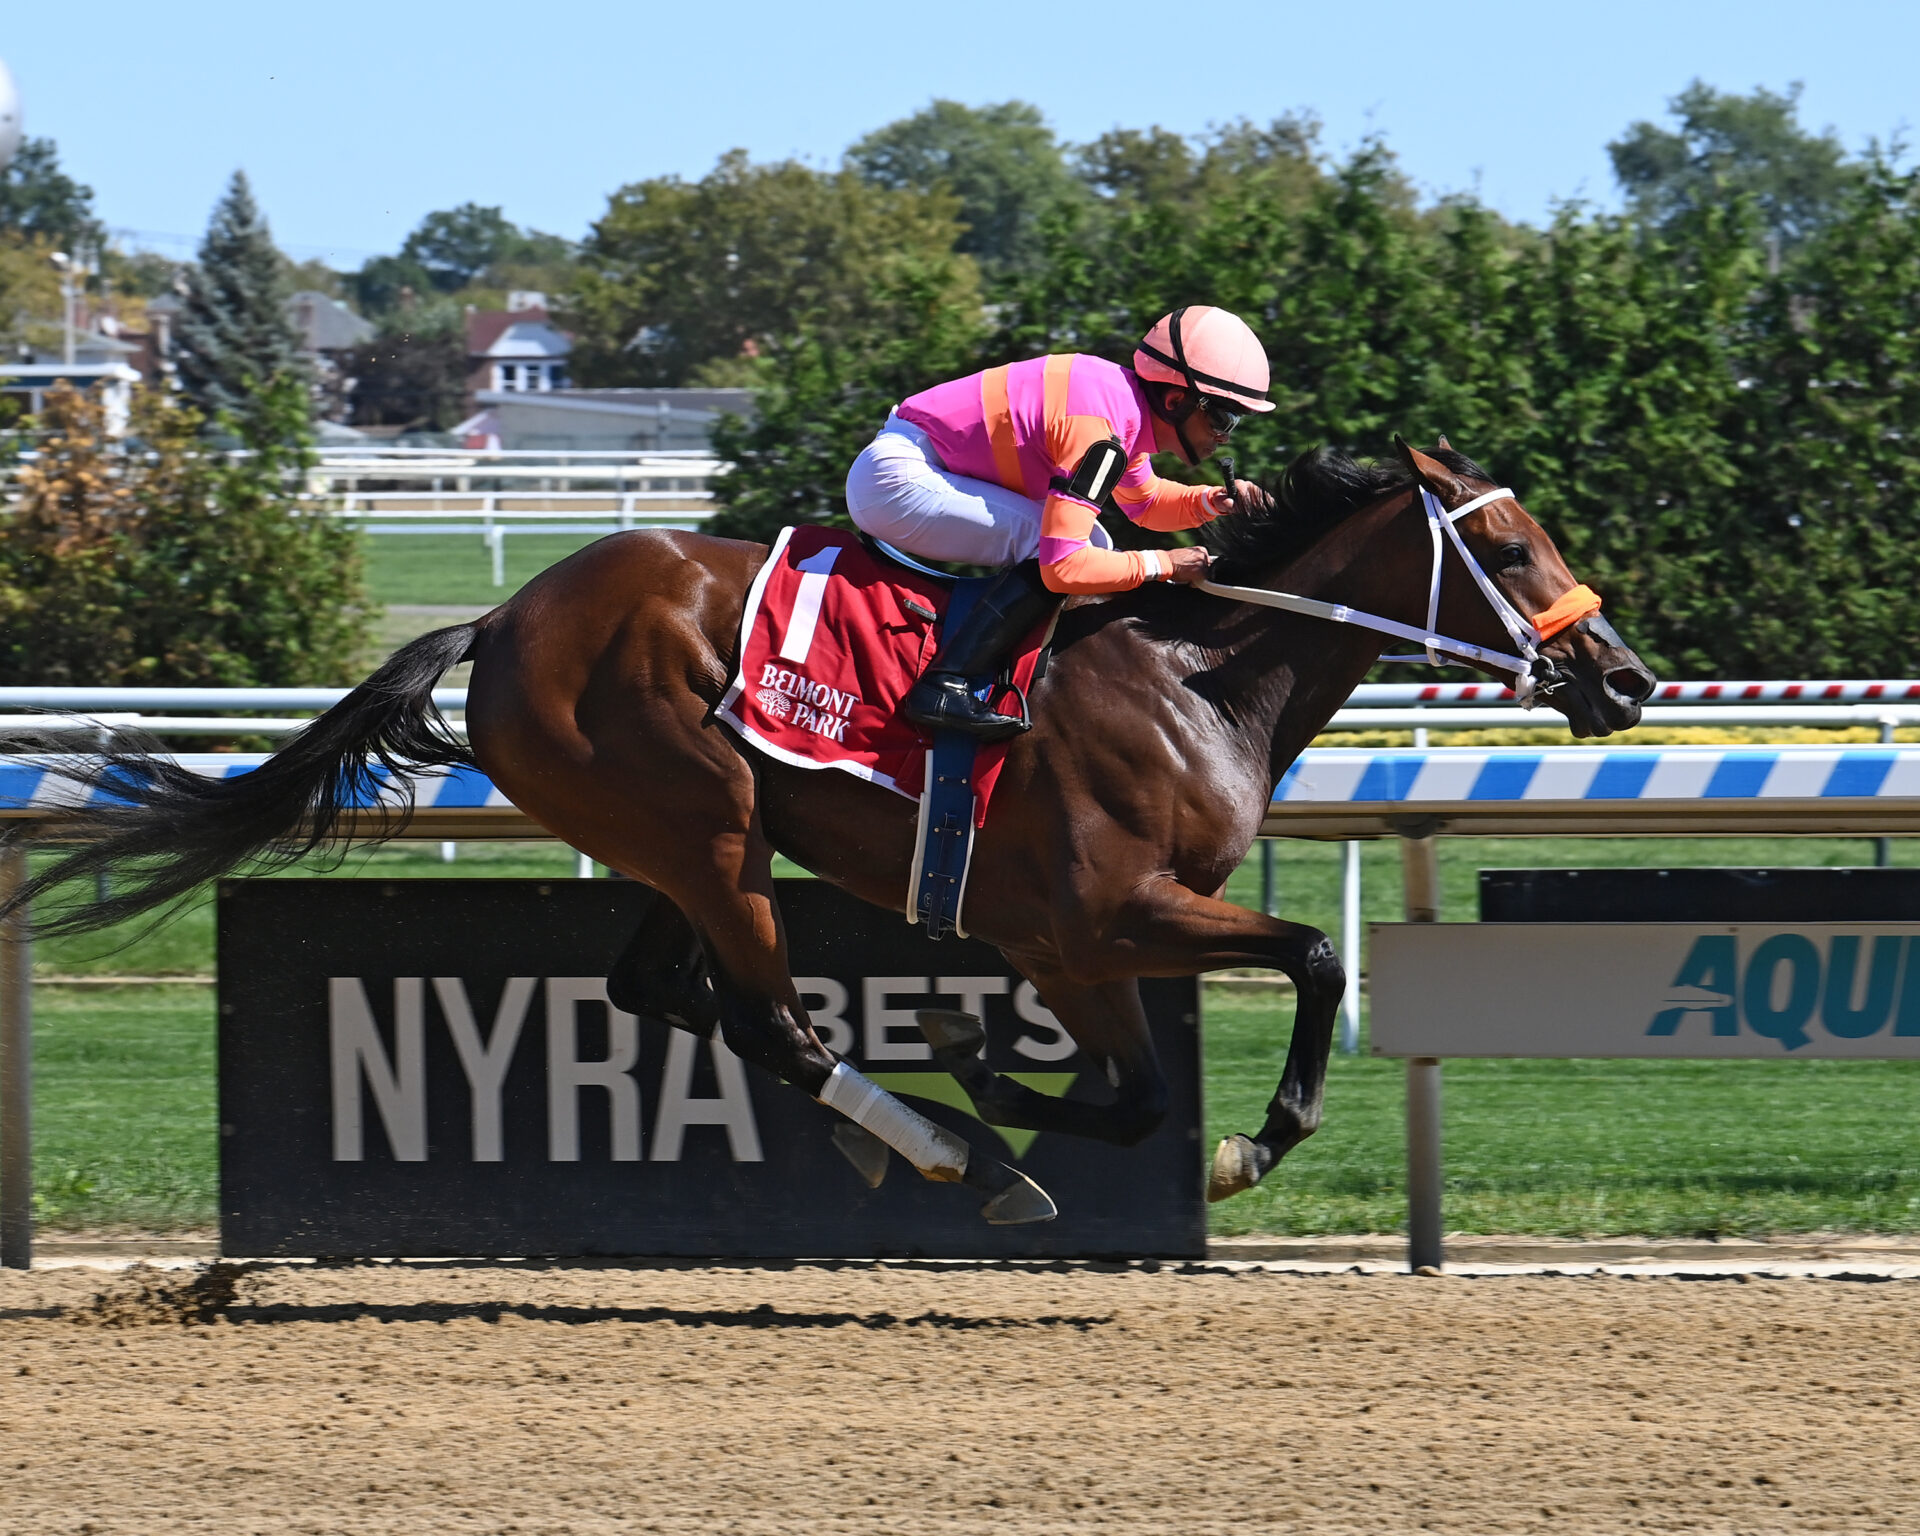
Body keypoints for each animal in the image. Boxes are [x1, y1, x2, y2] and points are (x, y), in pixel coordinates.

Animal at [4, 439, 1654, 1222]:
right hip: (708, 820)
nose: (1626, 680)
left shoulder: (1072, 946)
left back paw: (934, 1138)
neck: (1194, 673)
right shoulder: (1099, 916)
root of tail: (507, 615)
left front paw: (1004, 1073)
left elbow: (1132, 1093)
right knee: (774, 1023)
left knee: (668, 990)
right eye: (1512, 546)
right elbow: (1309, 954)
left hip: (677, 840)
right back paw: (948, 1156)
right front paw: (1219, 1139)